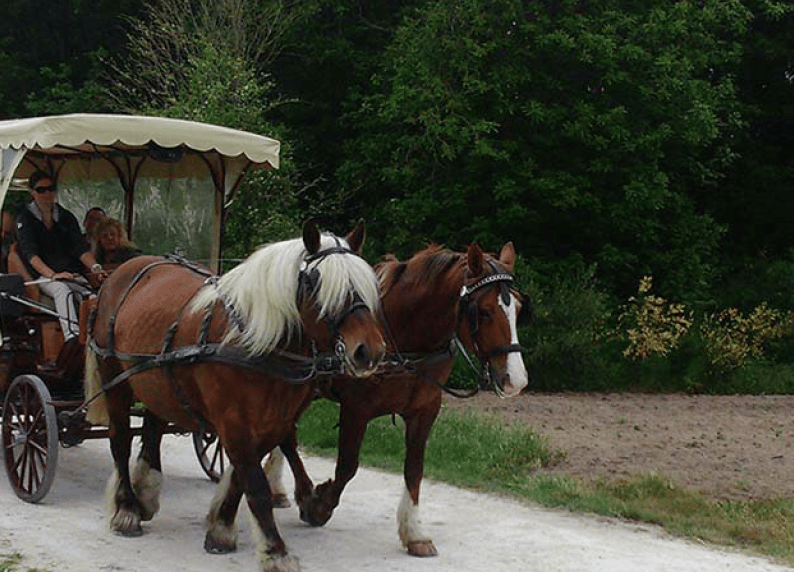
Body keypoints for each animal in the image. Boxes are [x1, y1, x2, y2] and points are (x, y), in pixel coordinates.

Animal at [84, 220, 386, 572]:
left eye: (365, 282)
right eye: (316, 283)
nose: (369, 351)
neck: (254, 340)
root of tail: (121, 271)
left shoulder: (273, 424)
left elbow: (244, 478)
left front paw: (221, 528)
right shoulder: (234, 423)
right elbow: (255, 484)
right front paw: (275, 551)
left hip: (156, 378)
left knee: (153, 428)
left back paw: (145, 492)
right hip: (114, 377)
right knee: (120, 439)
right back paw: (128, 508)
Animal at [262, 242, 528, 560]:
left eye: (518, 309)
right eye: (485, 312)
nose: (516, 380)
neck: (404, 334)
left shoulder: (425, 410)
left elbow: (414, 468)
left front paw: (414, 532)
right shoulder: (356, 409)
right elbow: (347, 466)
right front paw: (319, 505)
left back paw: (276, 488)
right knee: (287, 436)